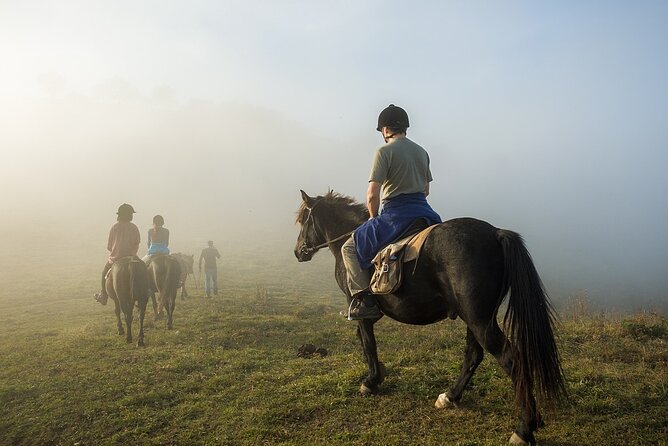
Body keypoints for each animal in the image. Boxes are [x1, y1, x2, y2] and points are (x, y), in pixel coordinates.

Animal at [292, 190, 564, 444]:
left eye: (304, 220)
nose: (298, 252)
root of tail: (496, 233)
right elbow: (363, 339)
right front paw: (378, 374)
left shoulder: (358, 307)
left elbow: (368, 342)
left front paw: (371, 381)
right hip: (477, 318)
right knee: (474, 355)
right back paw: (451, 396)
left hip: (478, 319)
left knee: (510, 359)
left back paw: (524, 428)